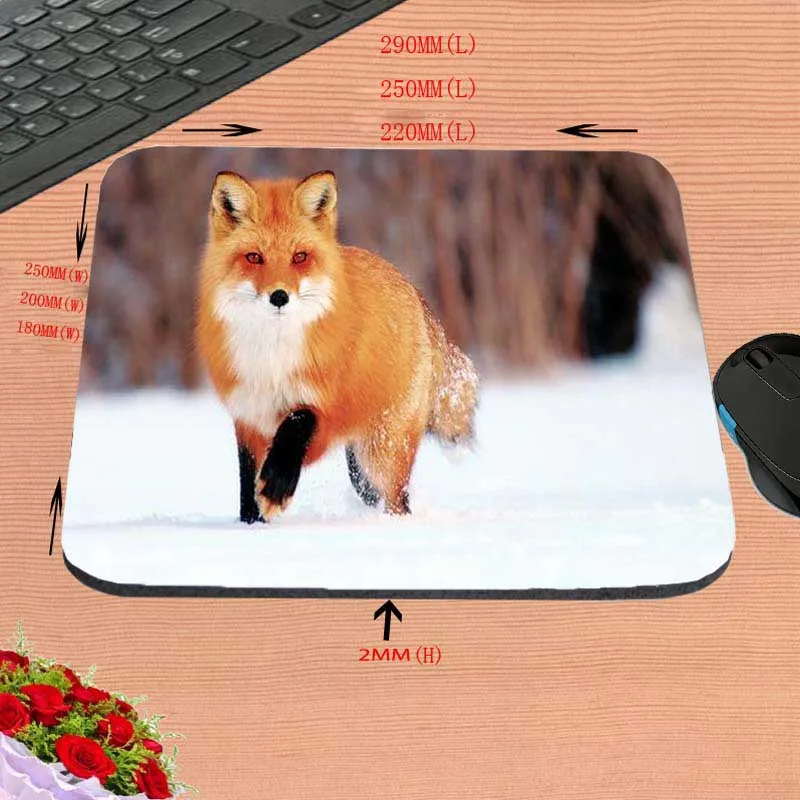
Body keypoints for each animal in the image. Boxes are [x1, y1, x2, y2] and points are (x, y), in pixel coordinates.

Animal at [196, 169, 479, 523]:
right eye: (254, 257)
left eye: (300, 257)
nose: (279, 296)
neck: (272, 361)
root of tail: (412, 288)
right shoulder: (248, 414)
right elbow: (246, 481)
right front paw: (250, 523)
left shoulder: (324, 408)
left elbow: (295, 426)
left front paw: (275, 489)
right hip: (360, 470)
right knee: (374, 494)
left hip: (382, 453)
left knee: (398, 500)